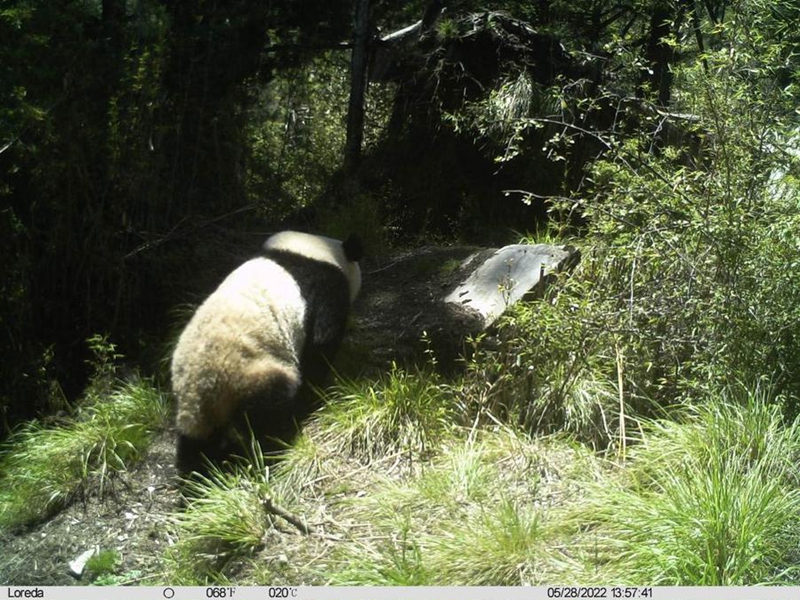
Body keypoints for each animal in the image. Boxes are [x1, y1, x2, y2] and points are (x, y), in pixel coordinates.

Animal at [171, 230, 363, 476]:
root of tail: (202, 389)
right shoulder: (325, 291)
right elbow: (321, 344)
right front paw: (317, 389)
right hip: (251, 371)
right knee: (269, 409)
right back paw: (272, 442)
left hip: (193, 405)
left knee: (195, 442)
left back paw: (202, 469)